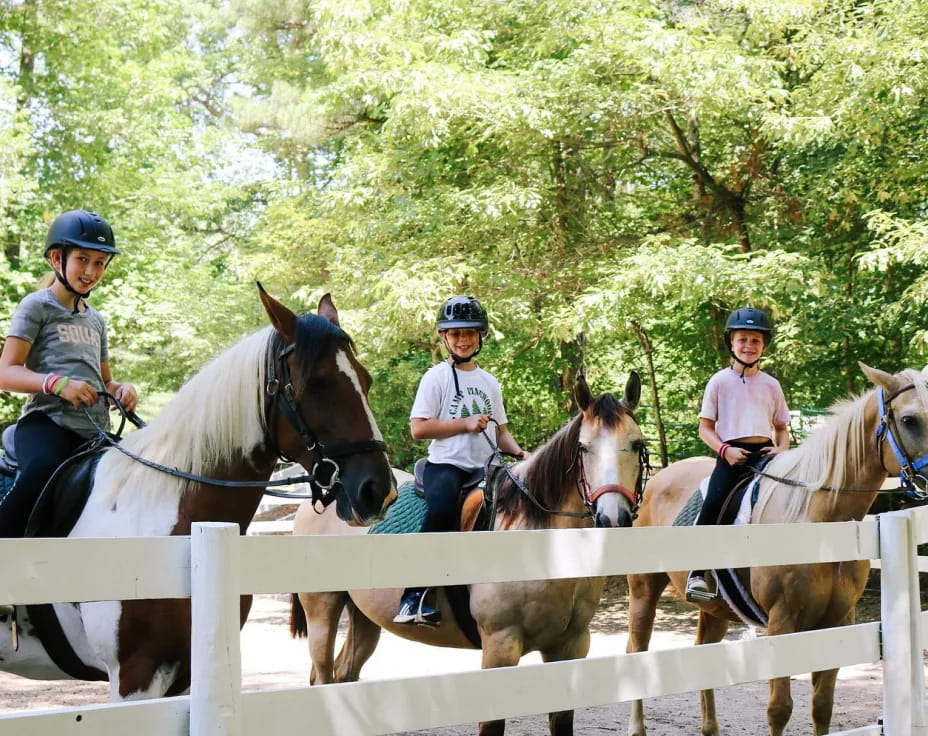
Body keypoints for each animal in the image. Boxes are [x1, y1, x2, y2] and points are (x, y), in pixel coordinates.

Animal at [294, 374, 648, 736]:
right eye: (584, 448)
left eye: (637, 444)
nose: (613, 518)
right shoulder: (500, 647)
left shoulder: (571, 645)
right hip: (322, 610)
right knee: (322, 677)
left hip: (364, 618)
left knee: (344, 675)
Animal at [624, 364, 928, 736]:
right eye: (910, 420)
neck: (819, 521)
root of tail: (657, 480)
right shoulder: (781, 622)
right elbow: (779, 709)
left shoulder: (838, 621)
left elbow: (822, 707)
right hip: (644, 590)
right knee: (637, 649)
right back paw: (637, 727)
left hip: (716, 608)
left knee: (703, 653)